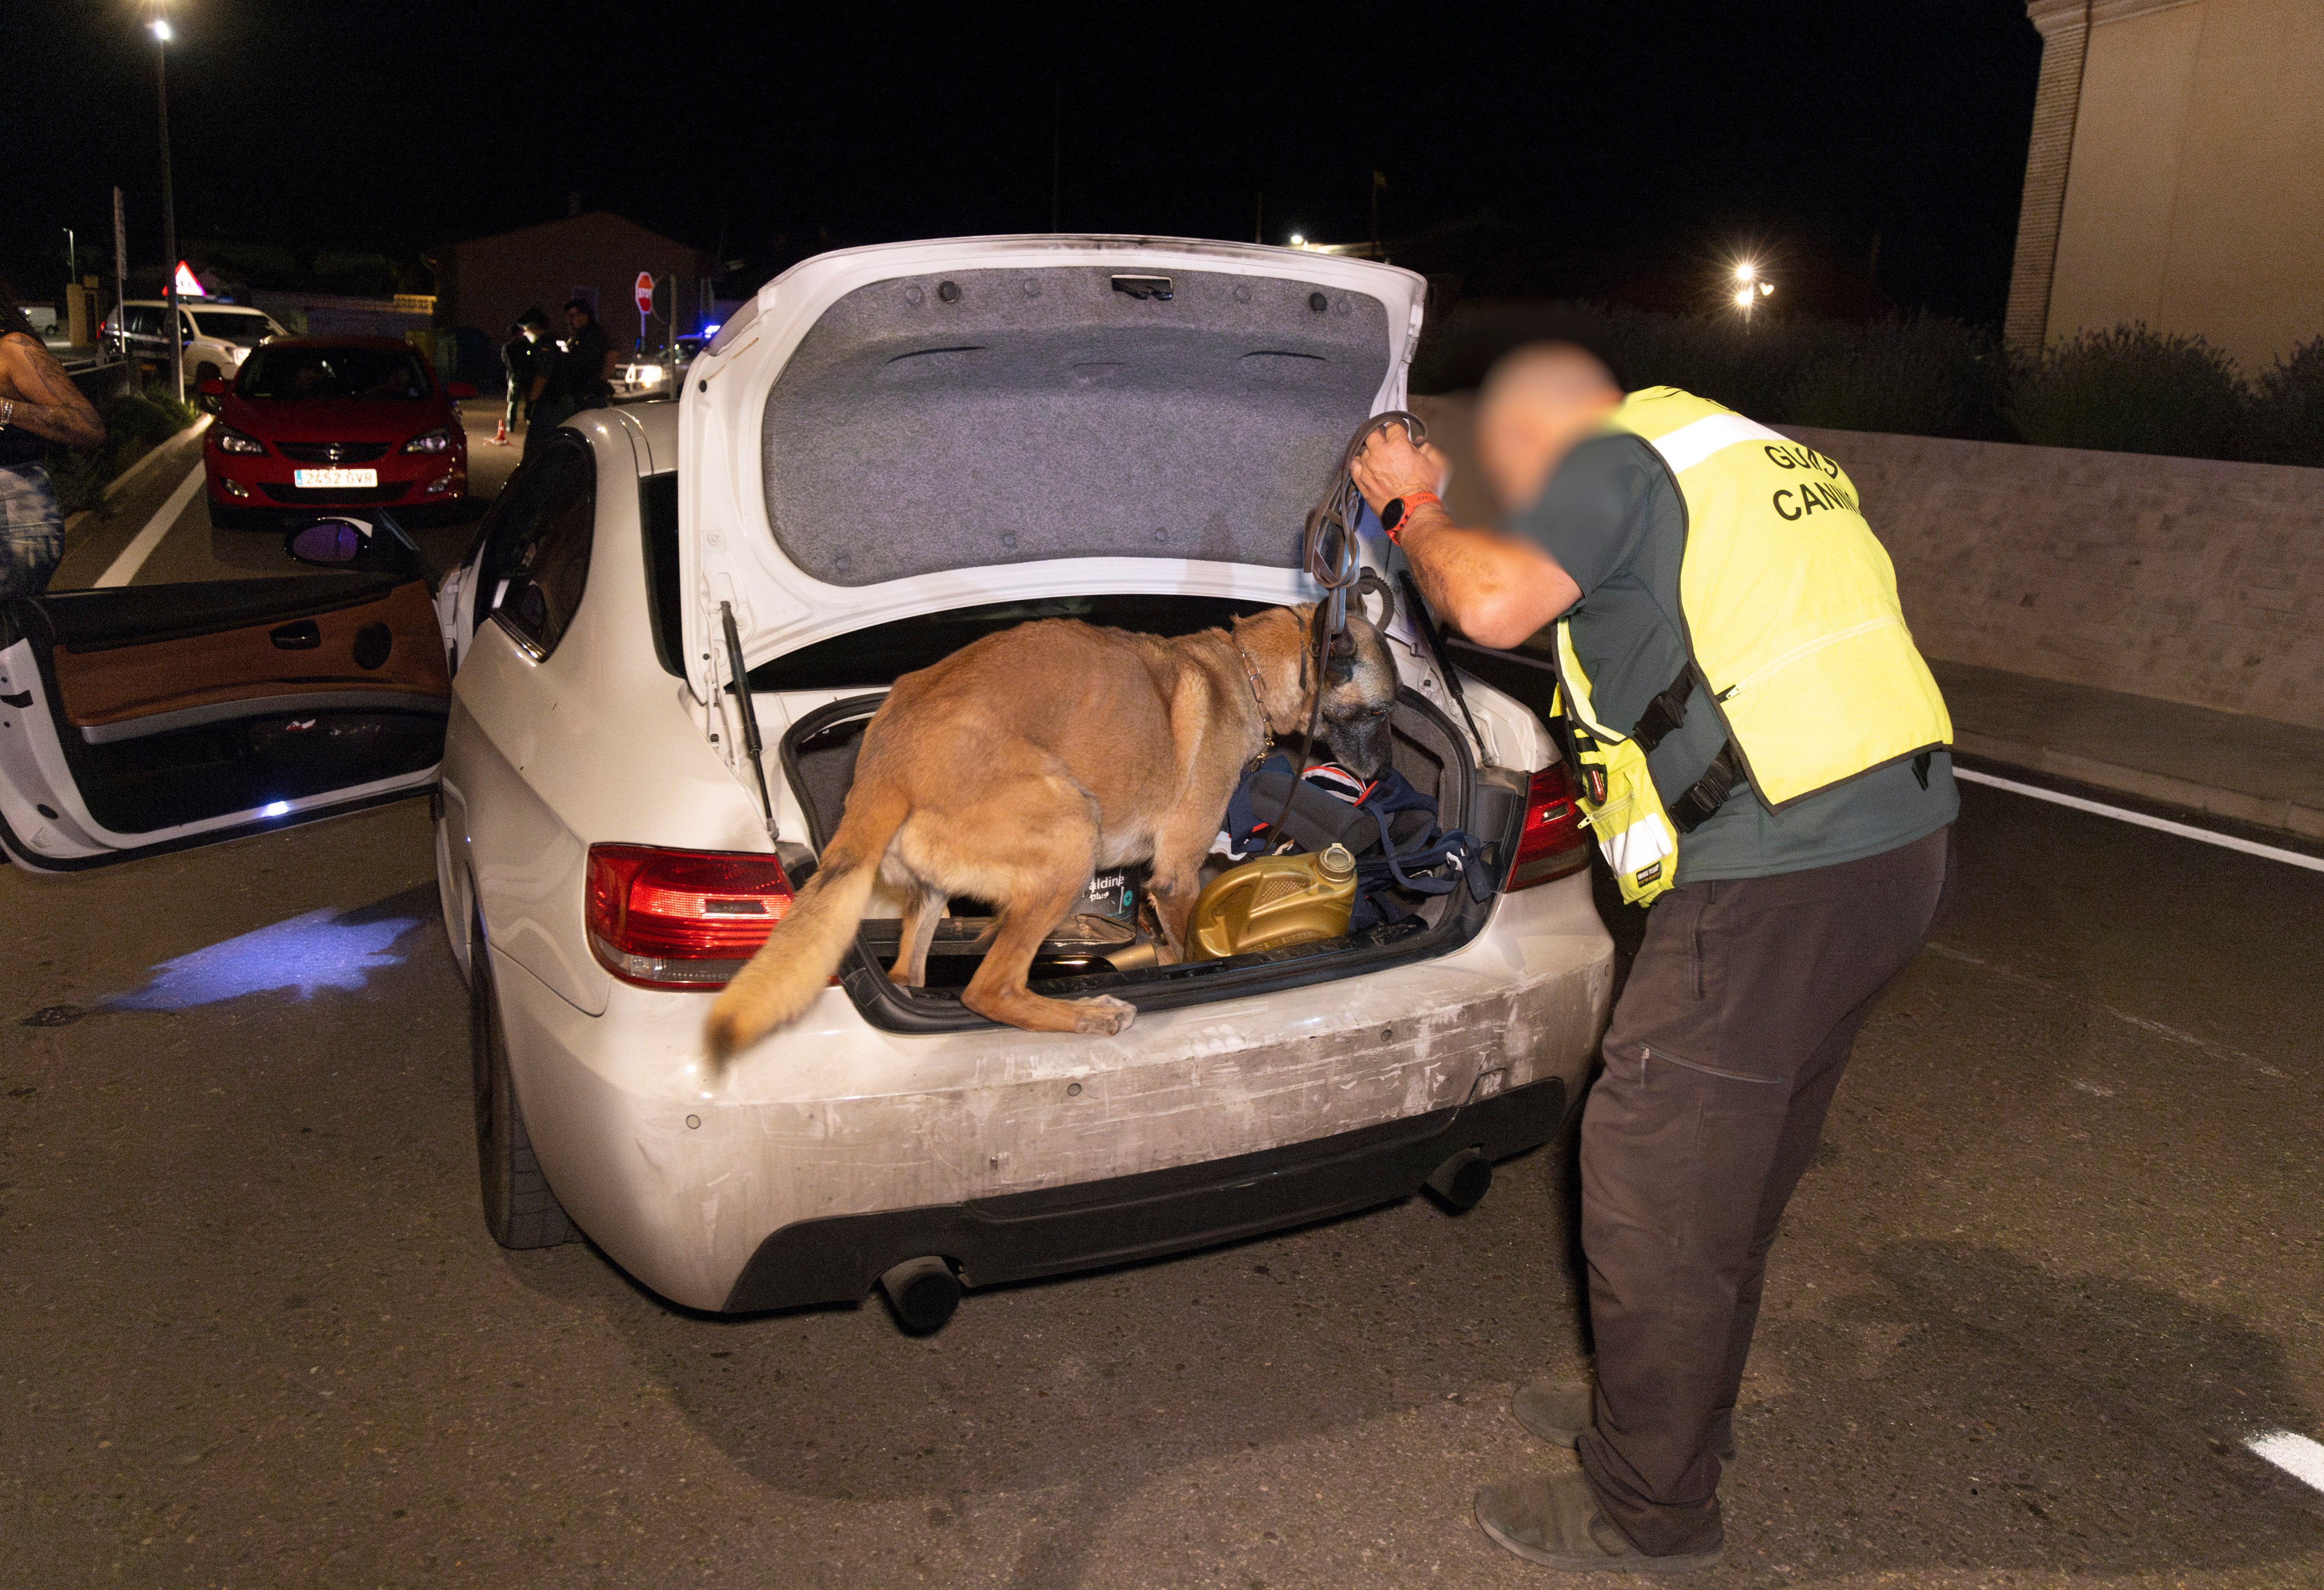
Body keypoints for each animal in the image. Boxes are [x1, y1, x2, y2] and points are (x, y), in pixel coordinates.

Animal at [706, 604, 1394, 1060]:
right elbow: (1192, 948)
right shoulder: (1175, 878)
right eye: (1384, 711)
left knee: (912, 974)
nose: (1385, 774)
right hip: (1072, 839)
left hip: (933, 897)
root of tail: (887, 761)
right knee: (988, 990)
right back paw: (1088, 1016)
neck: (1247, 667)